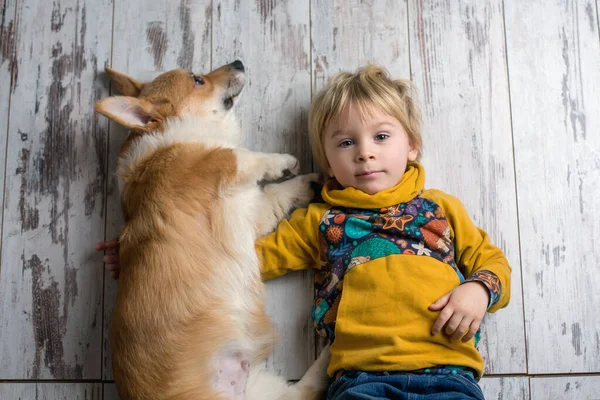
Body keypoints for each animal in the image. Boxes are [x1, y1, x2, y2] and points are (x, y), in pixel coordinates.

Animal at [95, 60, 328, 400]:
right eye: (197, 80)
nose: (239, 62)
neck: (171, 137)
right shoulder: (215, 165)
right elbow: (243, 155)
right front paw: (282, 161)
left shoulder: (249, 211)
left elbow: (277, 193)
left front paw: (305, 182)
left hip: (264, 392)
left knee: (302, 391)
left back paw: (330, 354)